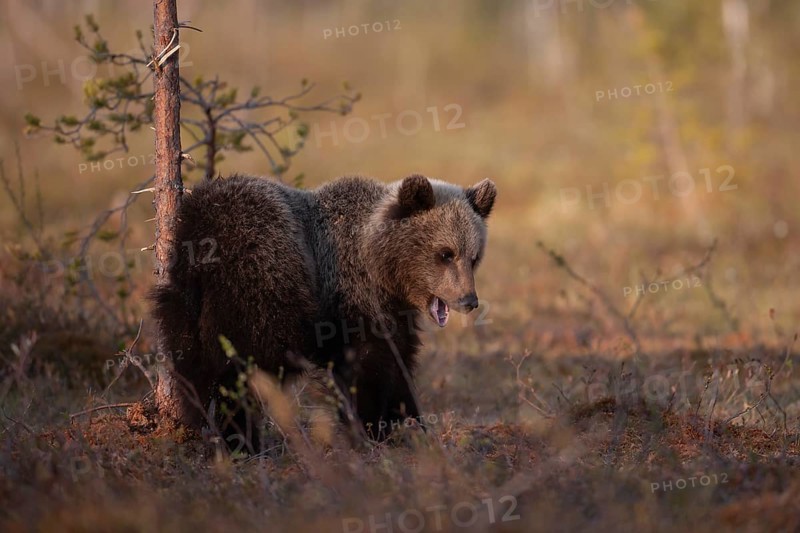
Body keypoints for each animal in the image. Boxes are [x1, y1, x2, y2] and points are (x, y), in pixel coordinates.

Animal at [150, 173, 496, 444]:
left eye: (474, 256)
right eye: (445, 253)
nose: (469, 300)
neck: (378, 265)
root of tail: (200, 232)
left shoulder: (392, 312)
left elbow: (399, 362)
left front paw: (408, 422)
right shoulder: (349, 299)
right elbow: (366, 367)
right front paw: (372, 428)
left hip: (182, 301)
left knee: (192, 365)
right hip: (260, 284)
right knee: (238, 371)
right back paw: (241, 438)